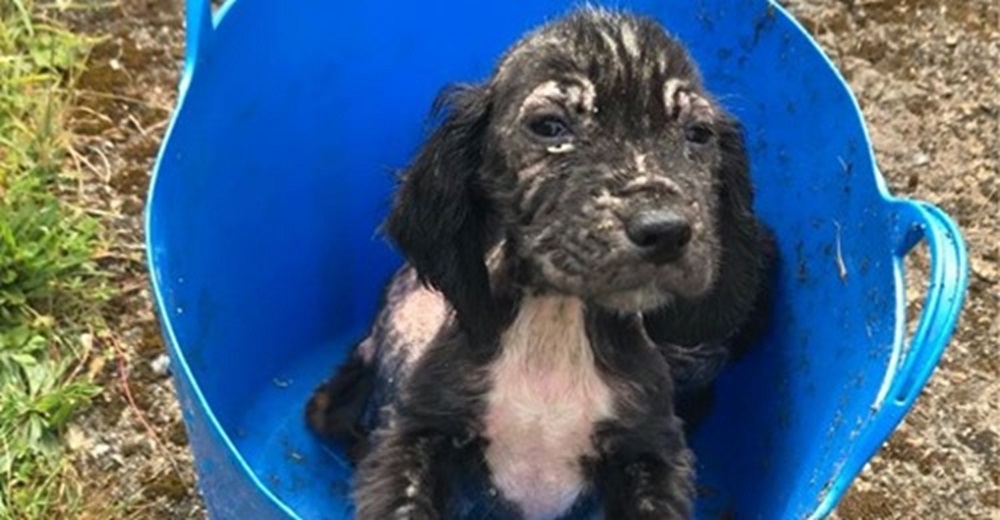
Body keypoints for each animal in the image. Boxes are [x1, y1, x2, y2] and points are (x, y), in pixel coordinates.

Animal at [304, 8, 772, 520]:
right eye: (550, 127)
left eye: (698, 135)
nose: (665, 230)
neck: (556, 324)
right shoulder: (417, 429)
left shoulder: (650, 452)